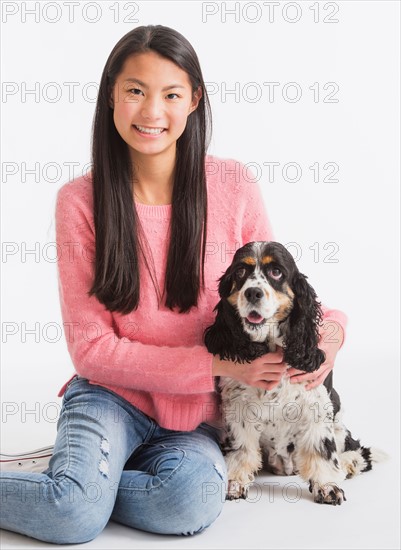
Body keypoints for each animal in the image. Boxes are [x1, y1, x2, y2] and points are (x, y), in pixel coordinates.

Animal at [205, 239, 386, 506]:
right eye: (240, 272)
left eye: (276, 271)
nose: (252, 293)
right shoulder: (237, 408)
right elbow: (241, 449)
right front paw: (234, 482)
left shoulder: (316, 406)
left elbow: (321, 450)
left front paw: (327, 486)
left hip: (339, 422)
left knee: (358, 451)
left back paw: (349, 463)